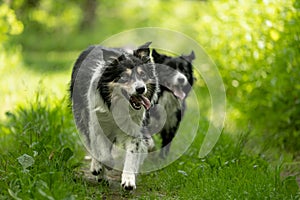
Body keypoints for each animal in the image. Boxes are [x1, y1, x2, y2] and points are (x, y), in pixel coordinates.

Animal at [70, 42, 159, 191]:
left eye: (143, 75)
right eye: (124, 77)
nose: (141, 89)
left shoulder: (135, 129)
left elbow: (132, 153)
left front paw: (128, 180)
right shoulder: (98, 124)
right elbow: (103, 153)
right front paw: (101, 166)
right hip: (82, 115)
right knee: (92, 144)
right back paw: (98, 170)